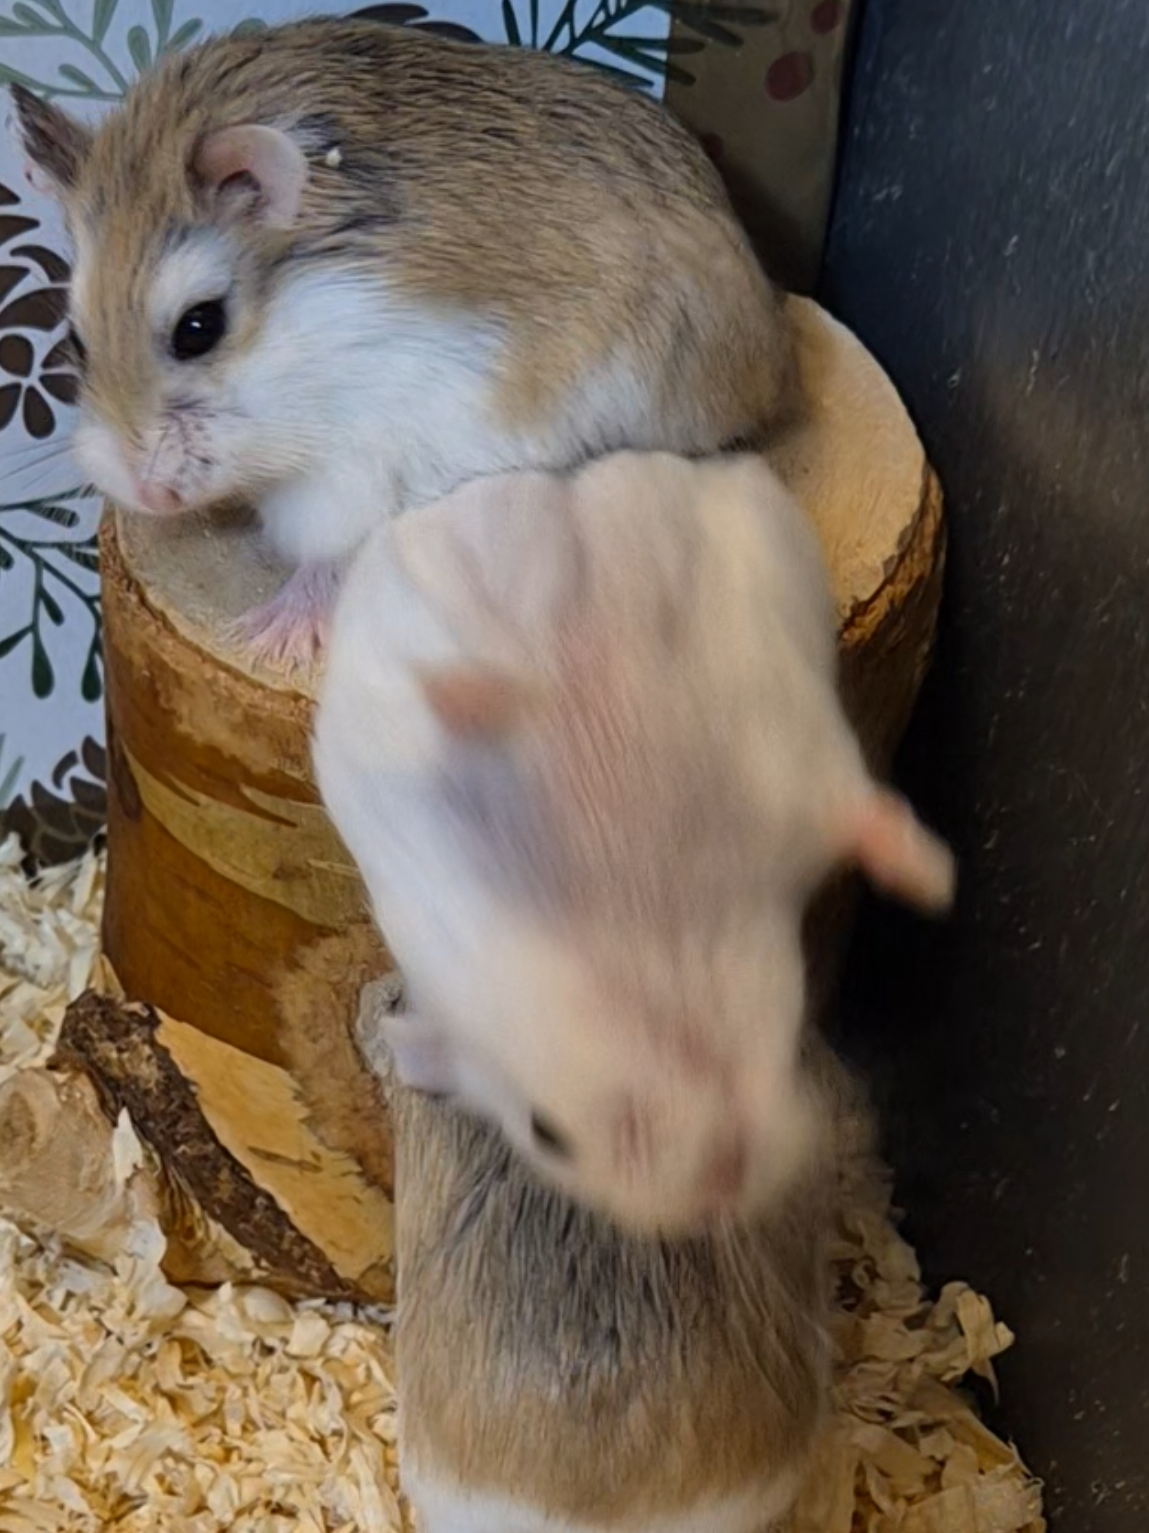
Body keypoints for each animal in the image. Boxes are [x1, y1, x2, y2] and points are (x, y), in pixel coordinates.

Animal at [10, 18, 793, 669]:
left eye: (199, 327)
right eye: (75, 338)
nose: (148, 493)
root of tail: (770, 357)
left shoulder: (370, 459)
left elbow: (333, 552)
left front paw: (270, 639)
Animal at [313, 451, 954, 1236]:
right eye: (547, 1135)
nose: (717, 1192)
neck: (658, 959)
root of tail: (557, 481)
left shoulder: (790, 774)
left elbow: (862, 811)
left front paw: (940, 885)